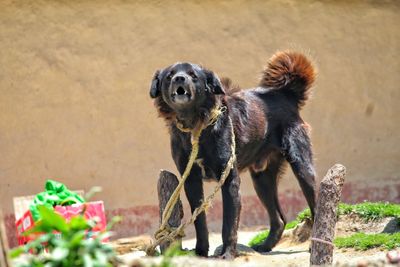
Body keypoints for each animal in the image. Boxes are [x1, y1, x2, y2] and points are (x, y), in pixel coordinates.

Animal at [149, 50, 316, 260]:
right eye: (169, 75)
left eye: (193, 75)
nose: (180, 78)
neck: (197, 125)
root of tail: (285, 94)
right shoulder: (191, 181)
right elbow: (199, 219)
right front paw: (201, 251)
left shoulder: (229, 179)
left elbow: (229, 223)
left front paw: (228, 253)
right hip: (262, 180)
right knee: (279, 219)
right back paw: (265, 246)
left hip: (302, 168)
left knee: (316, 207)